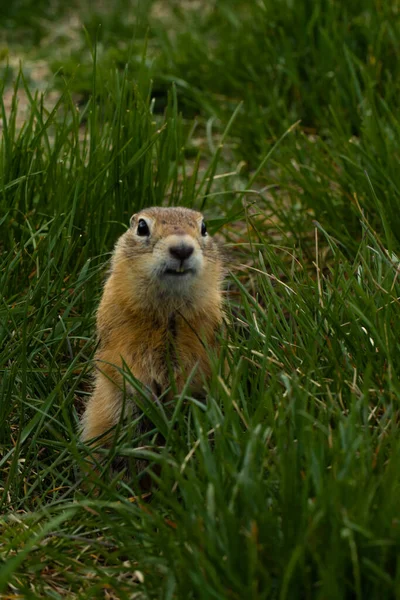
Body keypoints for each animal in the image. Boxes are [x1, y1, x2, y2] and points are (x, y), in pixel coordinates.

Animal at [81, 207, 225, 454]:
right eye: (142, 227)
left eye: (204, 228)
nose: (182, 249)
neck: (167, 309)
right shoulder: (118, 329)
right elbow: (118, 362)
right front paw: (147, 396)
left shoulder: (204, 331)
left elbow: (200, 367)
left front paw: (178, 396)